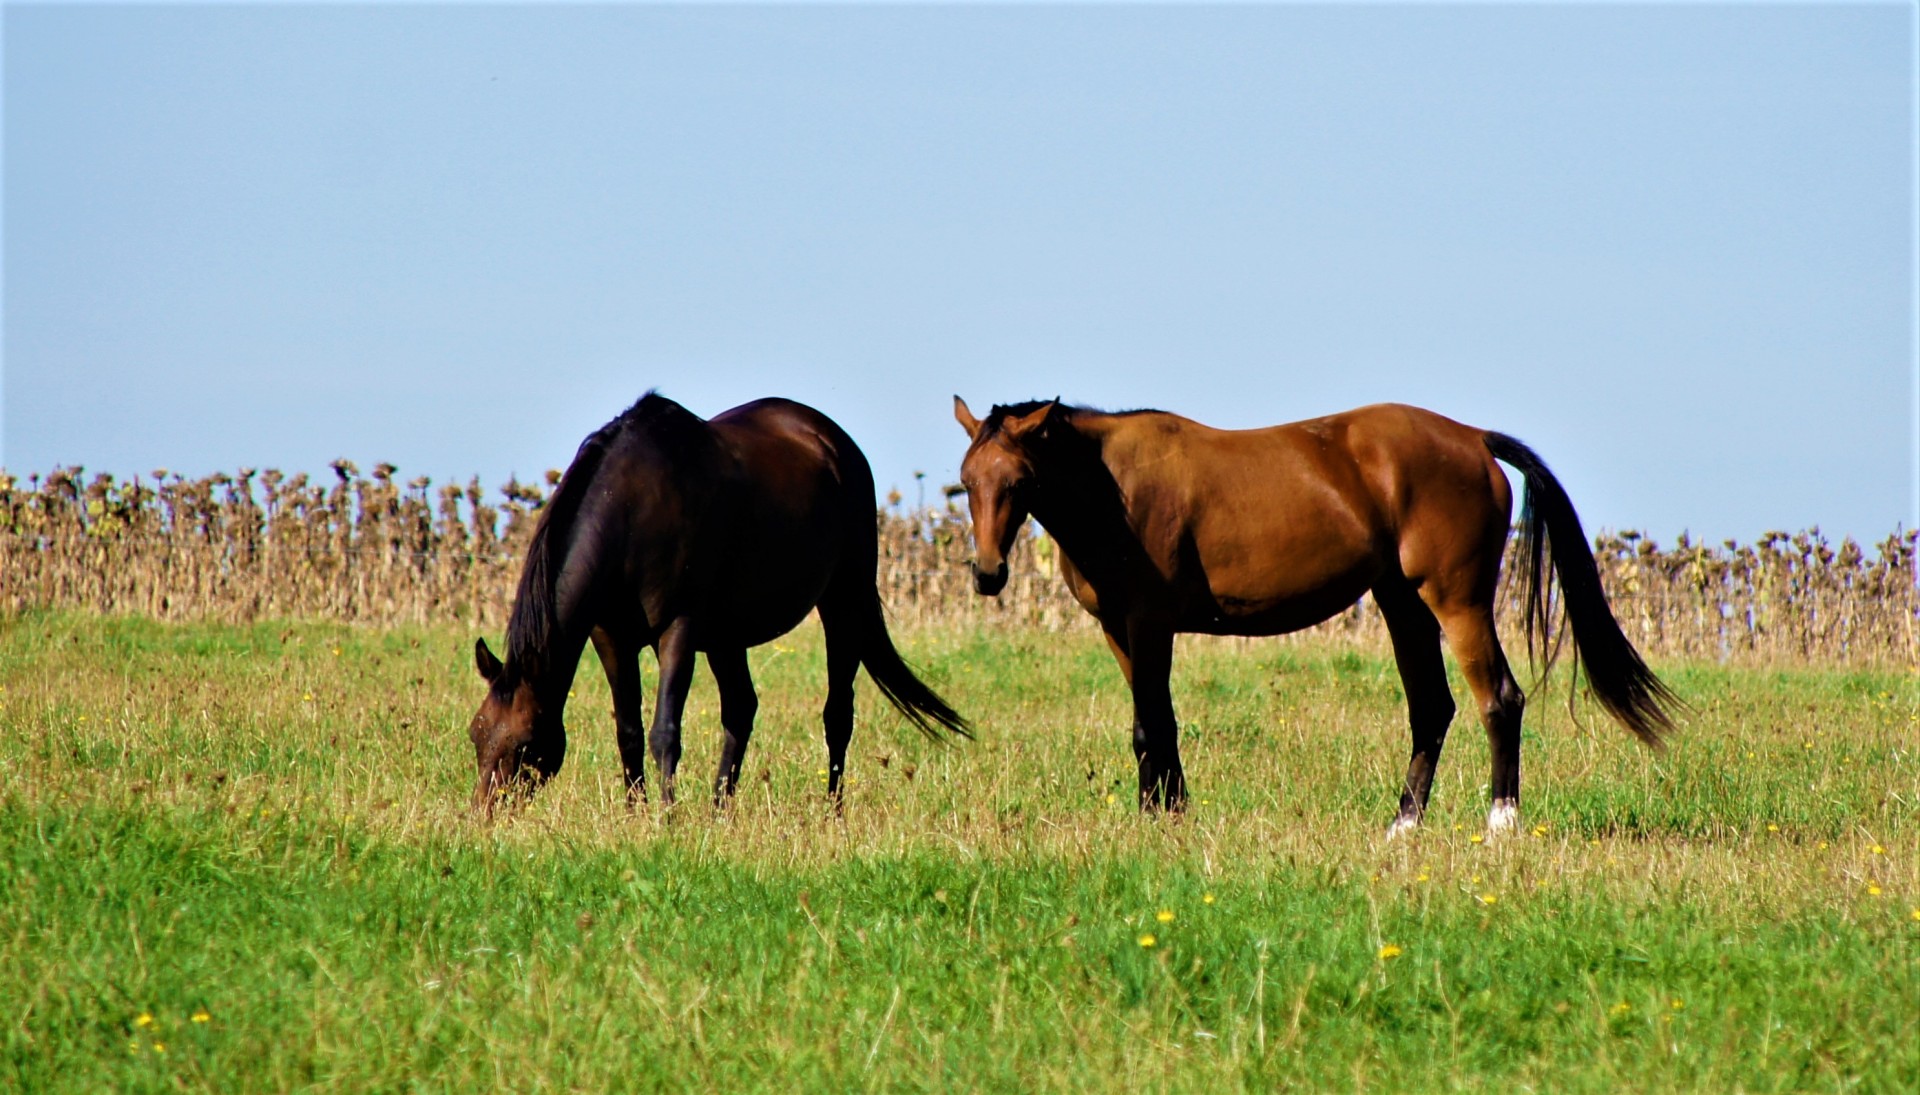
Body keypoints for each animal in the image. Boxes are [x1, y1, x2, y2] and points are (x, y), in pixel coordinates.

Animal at [466, 391, 975, 810]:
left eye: (525, 744)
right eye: (476, 735)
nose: (485, 814)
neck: (630, 507)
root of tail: (834, 442)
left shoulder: (679, 630)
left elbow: (665, 731)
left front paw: (666, 819)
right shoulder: (610, 636)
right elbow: (628, 731)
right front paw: (636, 814)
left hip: (843, 603)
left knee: (837, 715)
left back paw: (832, 812)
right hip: (727, 636)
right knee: (741, 710)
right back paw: (719, 811)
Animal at [952, 395, 1674, 829]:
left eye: (1018, 481)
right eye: (967, 480)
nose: (988, 573)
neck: (1115, 490)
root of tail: (1472, 439)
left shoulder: (1150, 624)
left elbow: (1151, 724)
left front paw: (1162, 819)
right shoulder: (1120, 631)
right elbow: (1156, 725)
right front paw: (1169, 813)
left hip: (1457, 599)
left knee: (1498, 698)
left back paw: (1500, 823)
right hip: (1401, 602)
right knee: (1432, 708)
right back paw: (1402, 824)